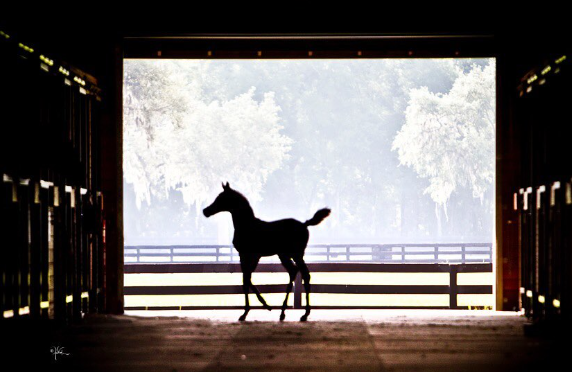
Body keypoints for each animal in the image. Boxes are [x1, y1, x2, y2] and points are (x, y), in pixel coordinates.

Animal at [204, 183, 330, 322]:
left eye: (221, 198)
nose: (206, 211)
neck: (246, 225)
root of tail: (304, 224)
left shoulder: (248, 255)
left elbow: (246, 280)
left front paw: (250, 311)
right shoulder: (250, 256)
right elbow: (246, 279)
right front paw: (259, 307)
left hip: (295, 254)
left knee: (303, 274)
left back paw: (303, 314)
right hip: (285, 255)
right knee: (295, 272)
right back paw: (285, 313)